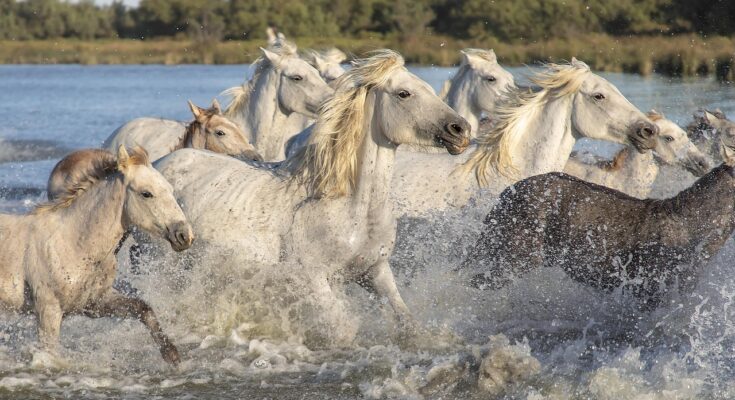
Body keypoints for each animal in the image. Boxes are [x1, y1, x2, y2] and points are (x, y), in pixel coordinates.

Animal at [0, 146, 194, 364]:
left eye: (170, 190)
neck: (72, 242)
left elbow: (143, 308)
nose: (184, 235)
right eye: (146, 193)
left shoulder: (95, 303)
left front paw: (172, 354)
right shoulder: (48, 310)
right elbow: (50, 352)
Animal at [152, 50, 470, 346]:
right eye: (404, 93)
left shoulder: (375, 271)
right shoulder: (314, 279)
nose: (461, 129)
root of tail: (158, 163)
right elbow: (343, 330)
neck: (350, 207)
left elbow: (407, 321)